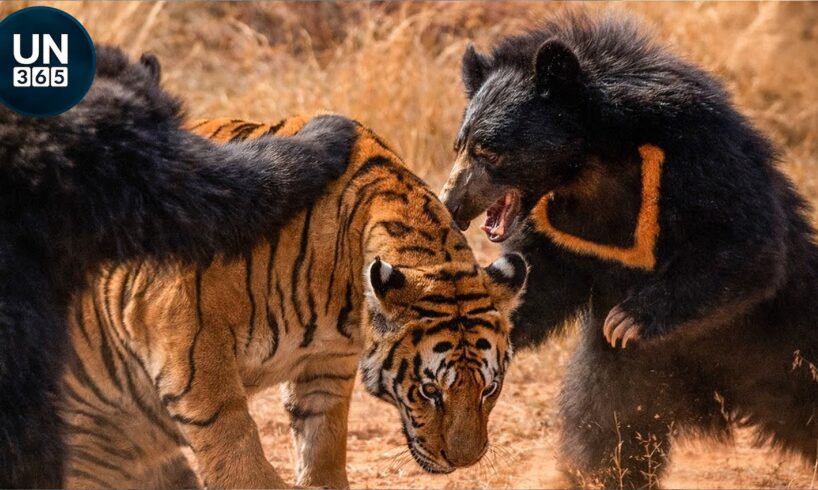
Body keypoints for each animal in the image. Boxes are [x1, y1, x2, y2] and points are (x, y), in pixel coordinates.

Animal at [60, 115, 529, 489]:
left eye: (490, 388)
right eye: (430, 391)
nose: (464, 461)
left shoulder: (326, 366)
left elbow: (322, 439)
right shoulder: (186, 334)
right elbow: (231, 437)